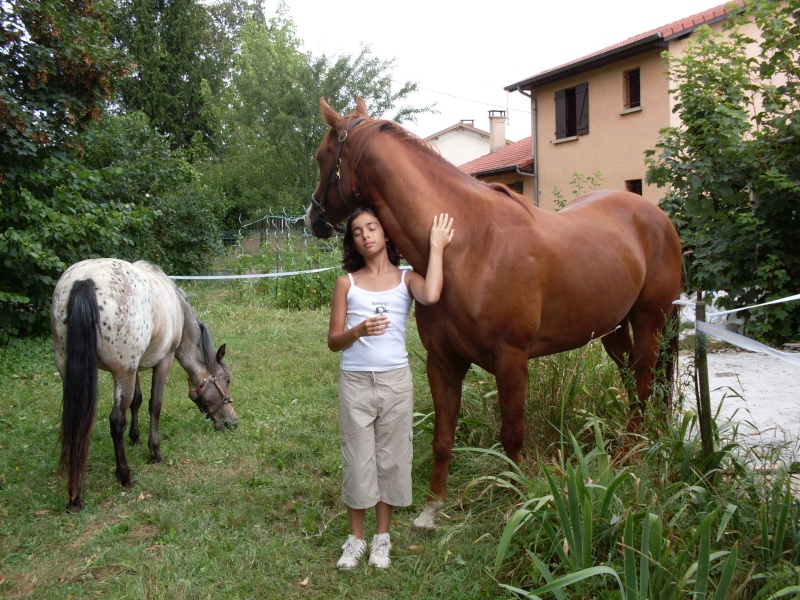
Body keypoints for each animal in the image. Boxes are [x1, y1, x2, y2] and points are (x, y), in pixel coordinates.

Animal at [50, 258, 236, 510]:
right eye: (226, 380)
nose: (232, 422)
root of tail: (85, 280)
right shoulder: (163, 361)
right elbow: (154, 405)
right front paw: (154, 451)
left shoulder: (135, 368)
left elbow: (136, 402)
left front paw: (135, 438)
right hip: (123, 372)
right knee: (116, 421)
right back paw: (124, 476)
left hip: (73, 371)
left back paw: (75, 496)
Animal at [306, 97, 680, 528]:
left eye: (321, 156)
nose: (312, 218)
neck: (467, 247)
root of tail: (659, 217)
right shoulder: (443, 362)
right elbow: (442, 437)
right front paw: (433, 508)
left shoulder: (511, 360)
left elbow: (512, 434)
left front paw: (518, 501)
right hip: (613, 328)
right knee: (633, 377)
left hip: (650, 319)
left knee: (644, 379)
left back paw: (630, 453)